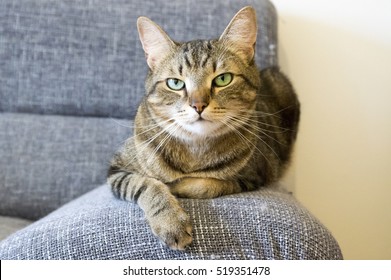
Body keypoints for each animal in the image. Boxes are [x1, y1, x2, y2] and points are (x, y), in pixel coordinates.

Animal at [107, 6, 300, 250]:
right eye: (175, 83)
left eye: (223, 79)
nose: (198, 105)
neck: (194, 150)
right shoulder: (117, 169)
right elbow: (147, 184)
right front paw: (170, 221)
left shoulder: (252, 176)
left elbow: (205, 184)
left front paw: (178, 186)